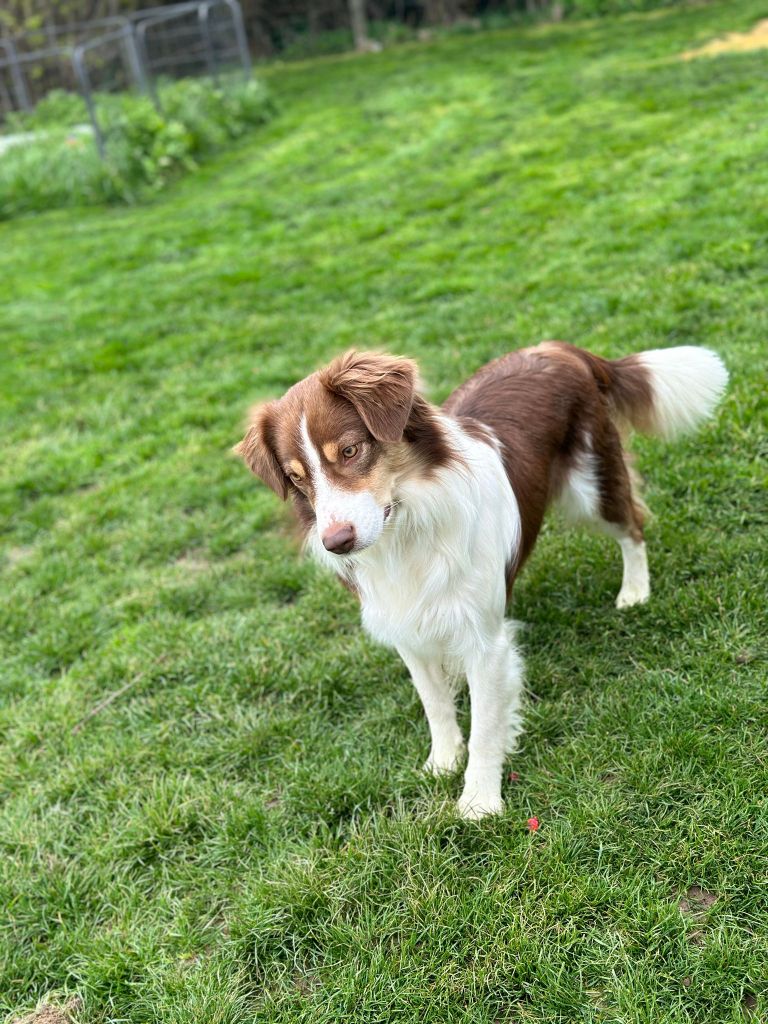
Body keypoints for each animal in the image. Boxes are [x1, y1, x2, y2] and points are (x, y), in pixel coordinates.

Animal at [237, 344, 729, 815]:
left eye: (351, 450)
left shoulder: (485, 641)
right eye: (297, 479)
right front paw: (443, 762)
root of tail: (561, 349)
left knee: (632, 526)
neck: (407, 532)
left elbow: (487, 726)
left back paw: (634, 591)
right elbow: (435, 702)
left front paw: (479, 802)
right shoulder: (407, 626)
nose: (336, 543)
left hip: (592, 485)